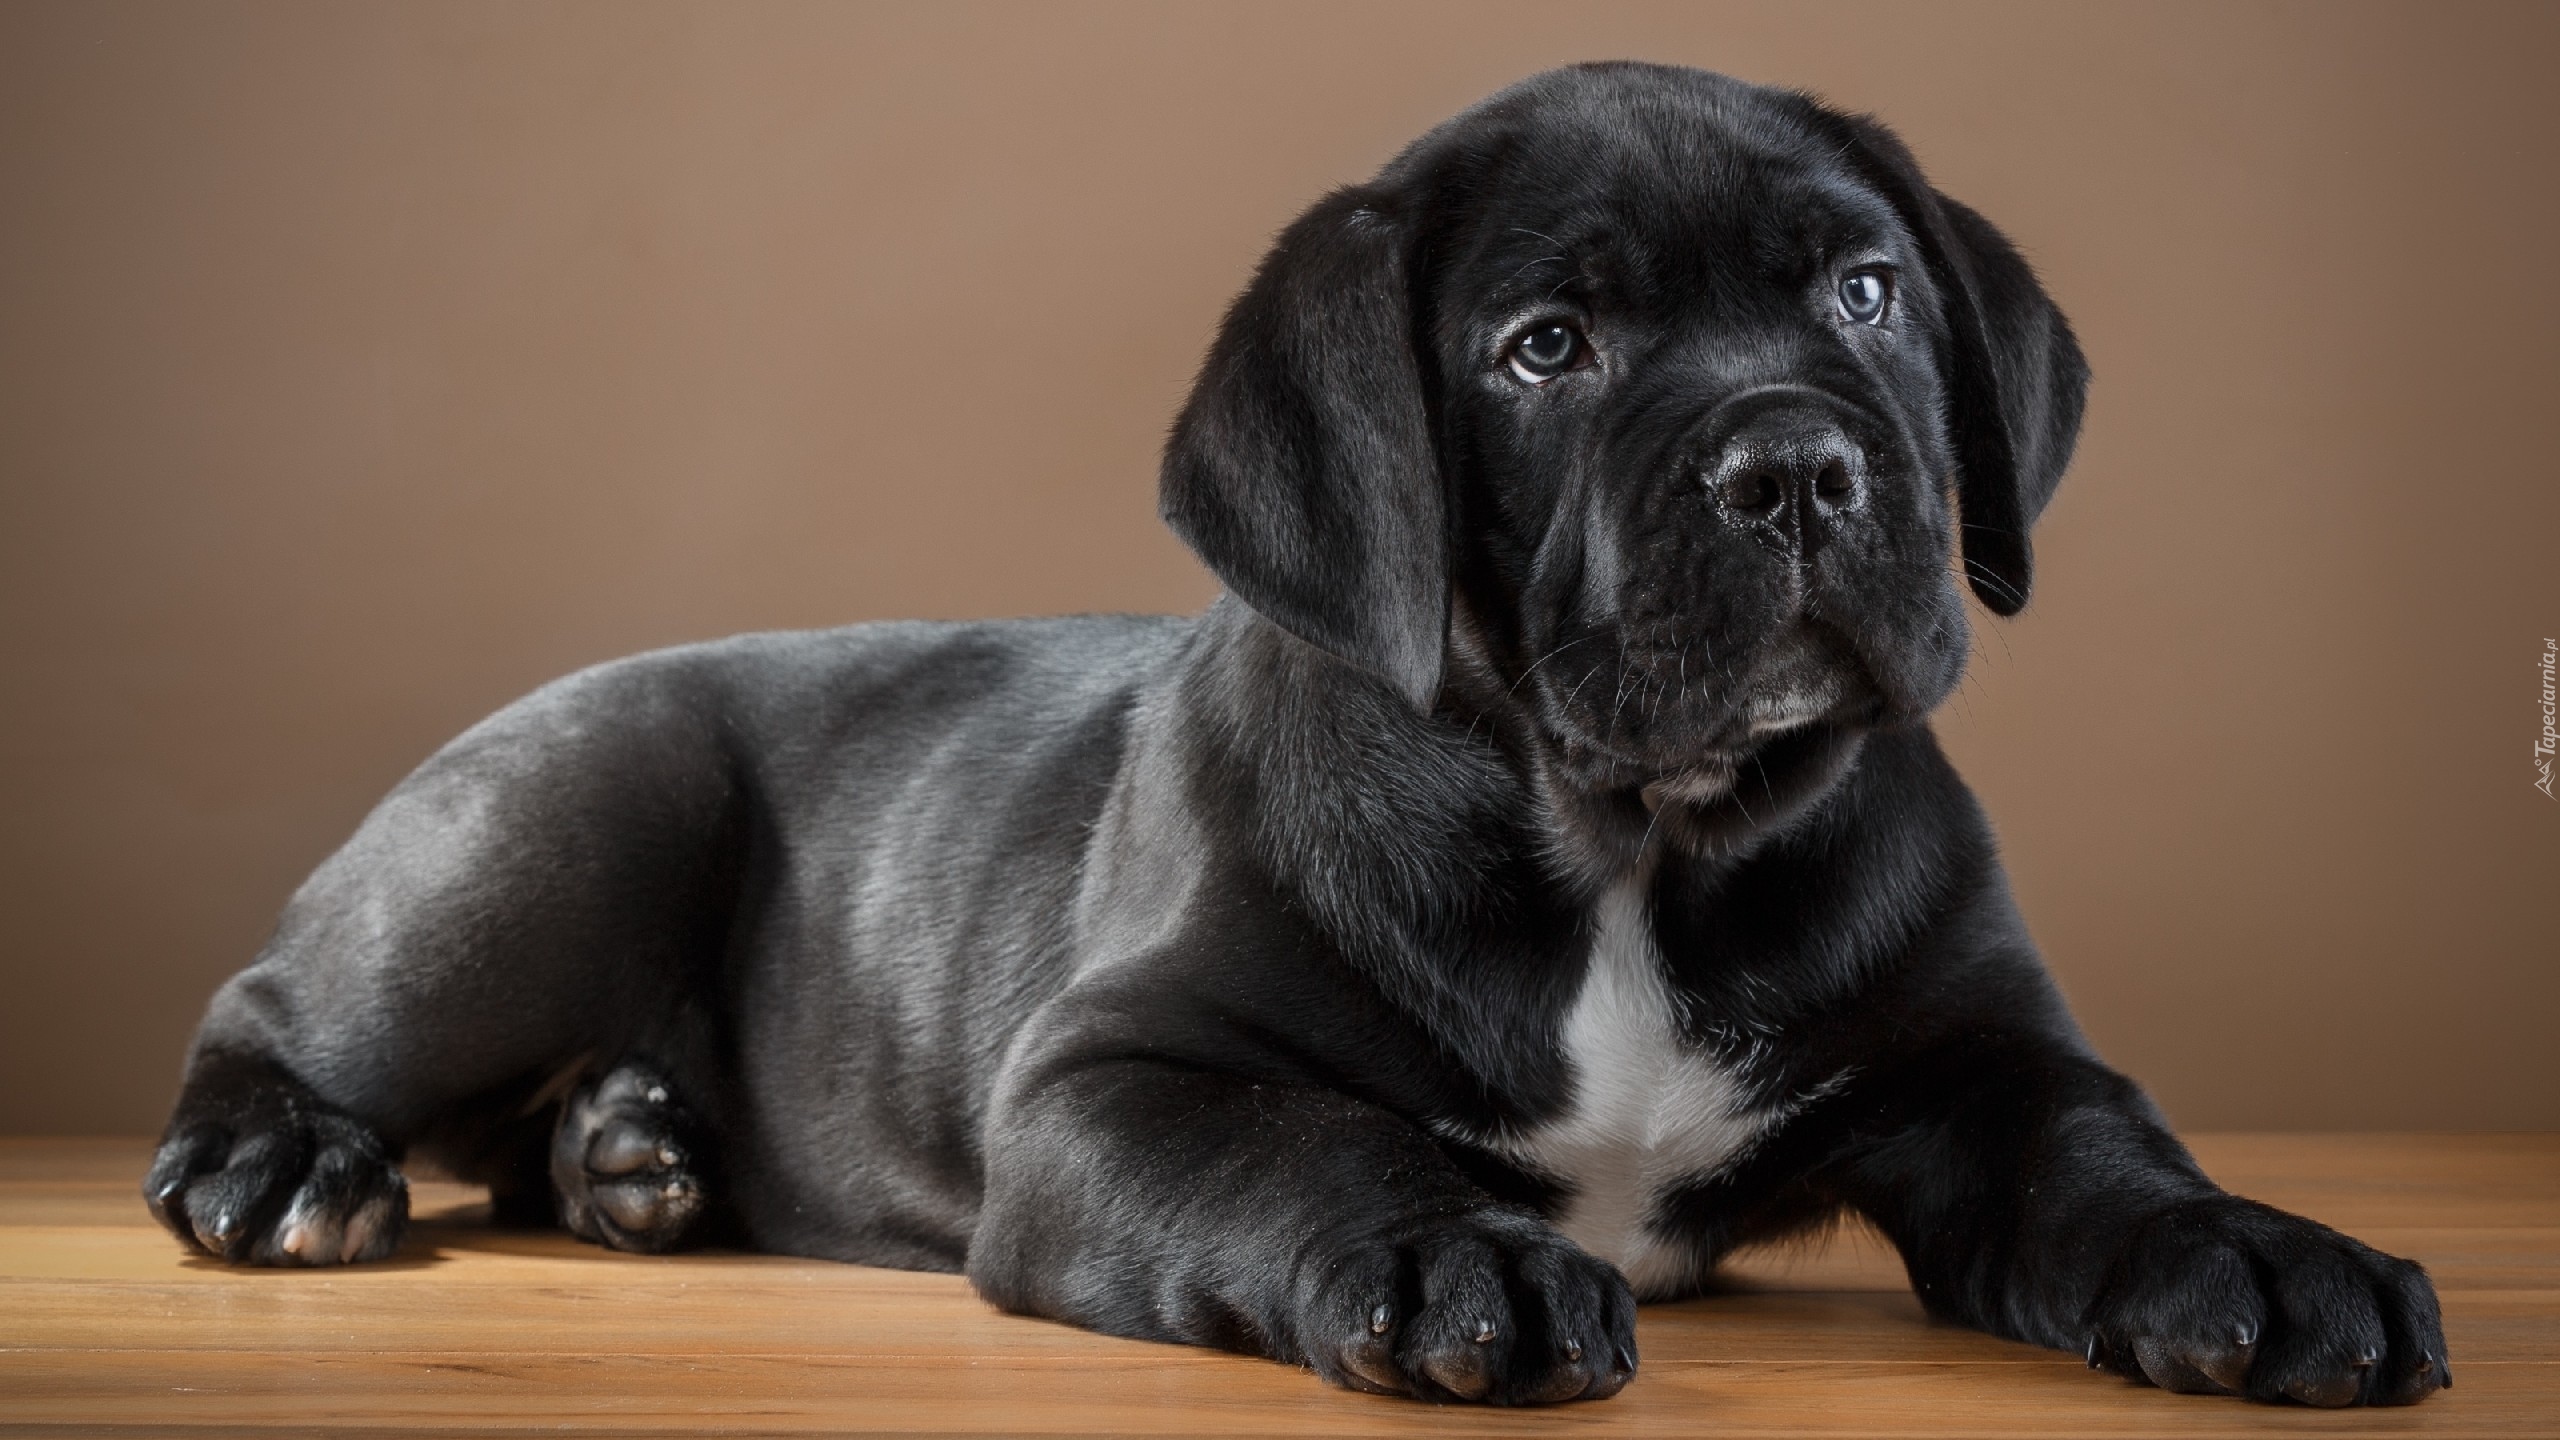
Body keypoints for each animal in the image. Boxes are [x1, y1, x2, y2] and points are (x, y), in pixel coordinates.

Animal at [149, 61, 2447, 1393]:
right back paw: (291, 1167)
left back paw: (631, 1157)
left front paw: (2258, 1254)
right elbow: (1304, 1140)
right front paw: (1443, 1259)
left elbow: (2101, 1157)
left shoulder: (1985, 1063)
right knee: (286, 1011)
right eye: (1545, 347)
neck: (1636, 839)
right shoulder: (1108, 1085)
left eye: (1866, 294)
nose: (1795, 467)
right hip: (550, 826)